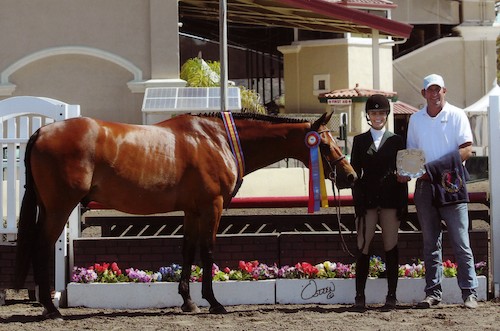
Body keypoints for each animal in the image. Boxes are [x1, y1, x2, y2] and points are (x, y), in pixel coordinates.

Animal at [13, 111, 358, 320]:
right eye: (325, 145)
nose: (351, 176)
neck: (219, 139)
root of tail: (41, 131)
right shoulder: (212, 206)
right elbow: (208, 252)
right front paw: (214, 302)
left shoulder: (192, 210)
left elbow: (187, 251)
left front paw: (188, 300)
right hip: (60, 207)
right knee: (42, 246)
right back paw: (50, 308)